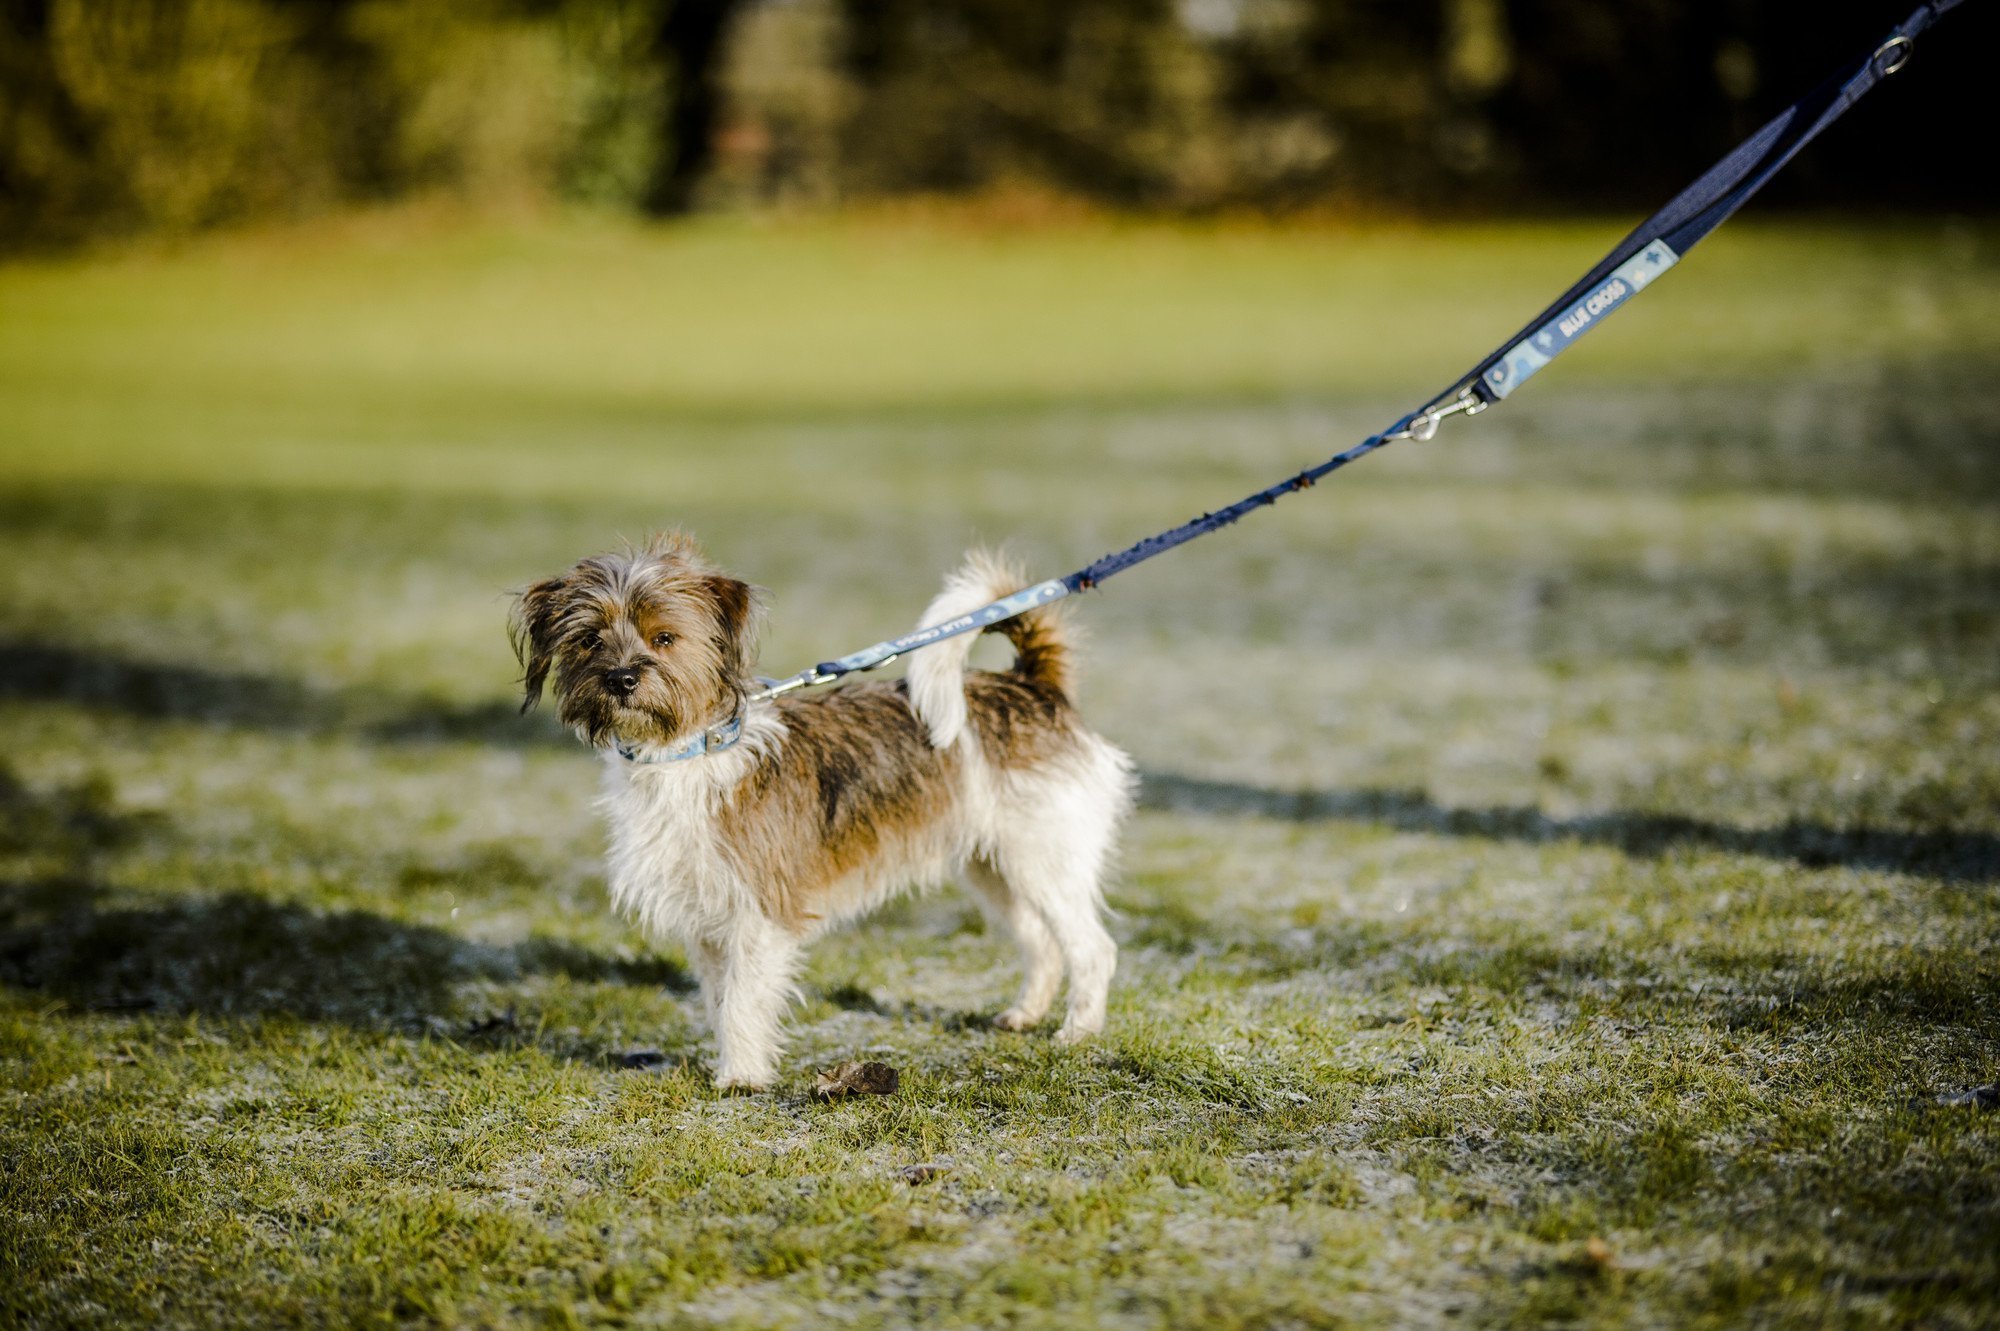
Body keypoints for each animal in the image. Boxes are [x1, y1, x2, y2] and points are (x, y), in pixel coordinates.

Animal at [508, 535, 1136, 1087]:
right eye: (589, 640)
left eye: (664, 638)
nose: (620, 678)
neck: (690, 754)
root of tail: (1034, 687)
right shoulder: (710, 917)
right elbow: (720, 999)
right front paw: (737, 1063)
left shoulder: (758, 912)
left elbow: (741, 1000)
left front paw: (740, 1078)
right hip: (998, 868)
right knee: (1042, 943)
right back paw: (1025, 1015)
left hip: (1043, 861)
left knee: (1092, 949)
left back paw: (1077, 1032)